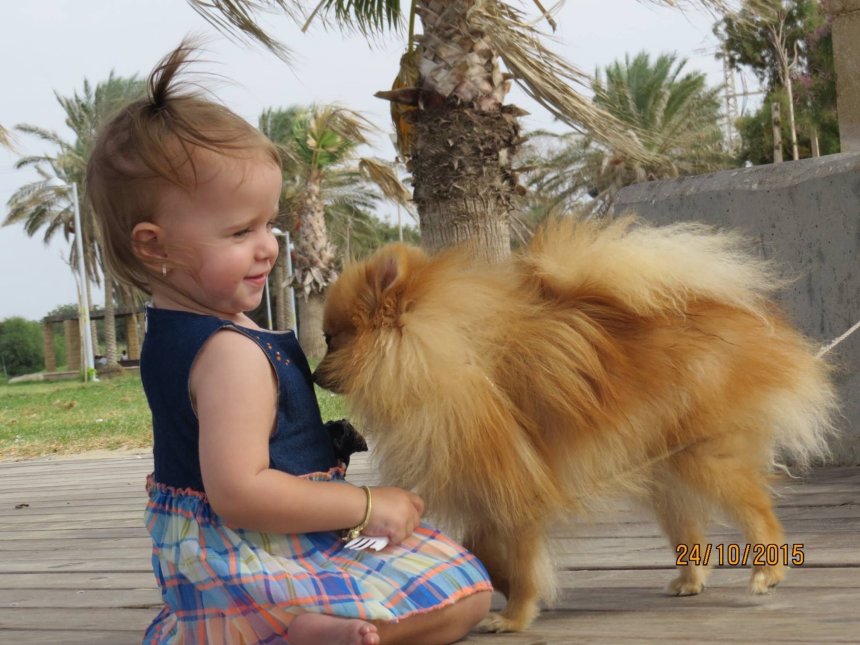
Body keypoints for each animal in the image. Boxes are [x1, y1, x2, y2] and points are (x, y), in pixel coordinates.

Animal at [314, 216, 832, 628]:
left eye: (332, 340)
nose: (314, 374)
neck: (440, 357)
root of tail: (733, 311)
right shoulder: (491, 488)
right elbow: (481, 547)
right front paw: (504, 588)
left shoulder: (514, 486)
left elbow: (520, 559)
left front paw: (514, 615)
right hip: (664, 467)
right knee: (688, 527)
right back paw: (689, 579)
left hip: (705, 455)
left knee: (757, 509)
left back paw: (767, 571)